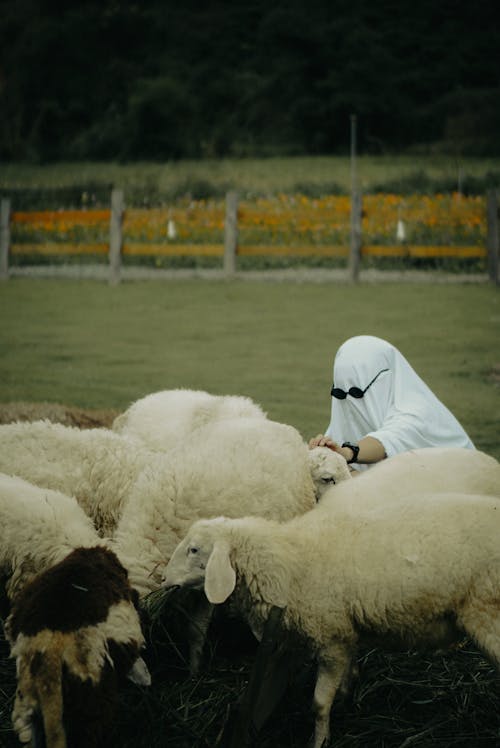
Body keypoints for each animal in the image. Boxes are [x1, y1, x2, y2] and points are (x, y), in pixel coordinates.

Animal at [162, 490, 500, 748]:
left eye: (194, 549)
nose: (164, 578)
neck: (288, 560)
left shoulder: (330, 638)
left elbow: (319, 703)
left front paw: (320, 739)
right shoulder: (345, 632)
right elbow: (348, 672)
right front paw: (349, 695)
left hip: (487, 611)